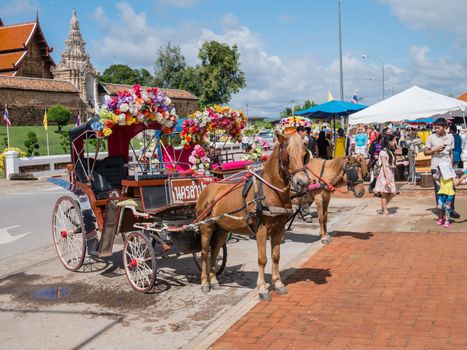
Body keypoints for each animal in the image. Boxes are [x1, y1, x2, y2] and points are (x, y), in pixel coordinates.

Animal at [197, 131, 310, 300]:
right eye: (287, 155)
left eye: (304, 155)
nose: (302, 183)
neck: (270, 191)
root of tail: (207, 188)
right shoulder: (261, 230)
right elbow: (262, 259)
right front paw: (262, 289)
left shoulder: (279, 229)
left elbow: (276, 256)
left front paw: (278, 284)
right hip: (206, 228)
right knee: (205, 253)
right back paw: (205, 282)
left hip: (222, 229)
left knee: (215, 251)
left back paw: (214, 281)